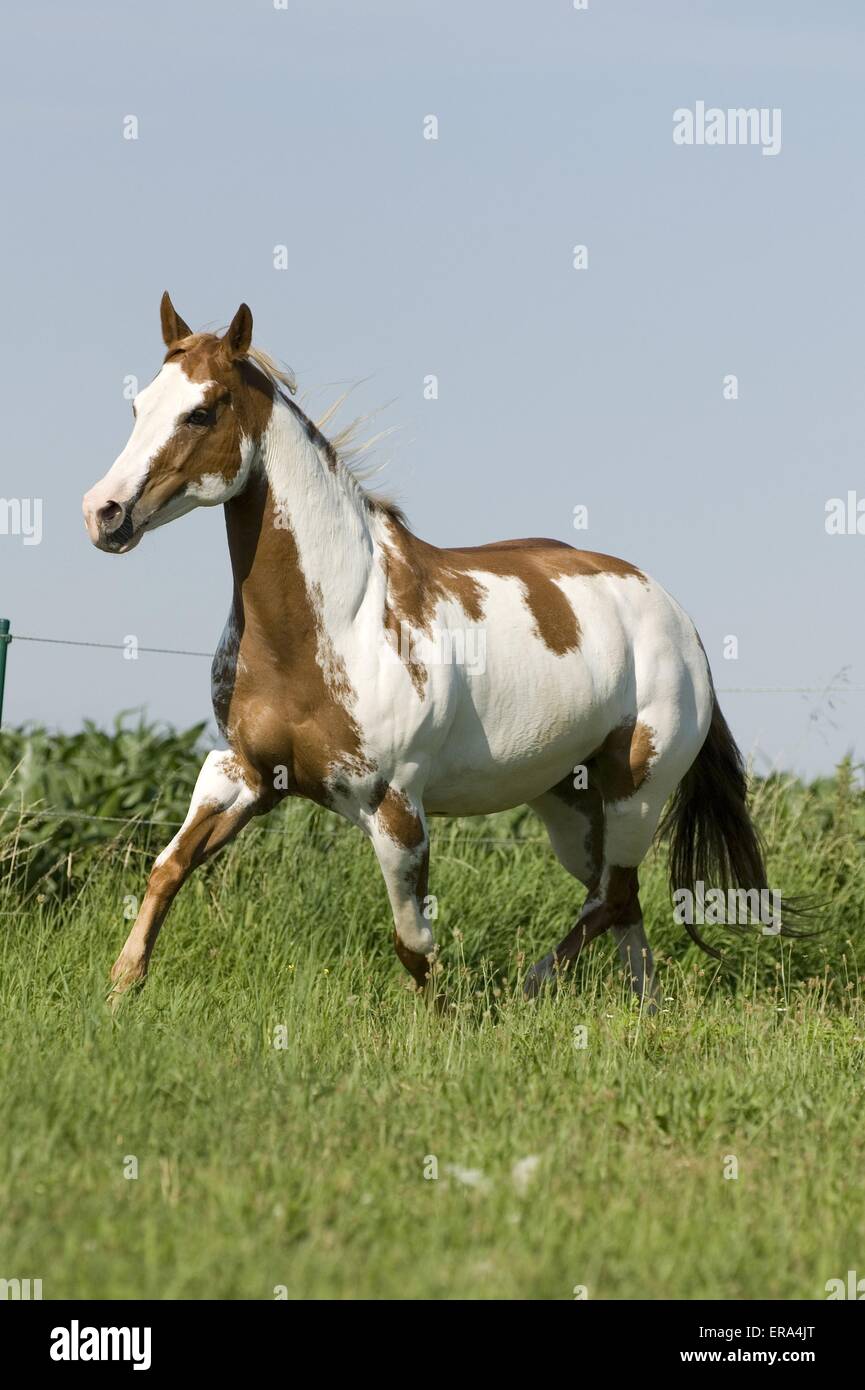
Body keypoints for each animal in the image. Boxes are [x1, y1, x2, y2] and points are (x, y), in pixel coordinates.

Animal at [82, 293, 779, 1007]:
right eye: (138, 406)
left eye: (202, 410)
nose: (103, 513)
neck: (330, 626)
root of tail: (680, 620)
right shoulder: (242, 773)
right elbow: (167, 869)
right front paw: (118, 992)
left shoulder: (396, 808)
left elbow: (413, 945)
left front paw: (445, 1017)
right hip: (570, 802)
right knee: (620, 900)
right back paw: (643, 1008)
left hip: (635, 788)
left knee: (611, 897)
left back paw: (531, 989)